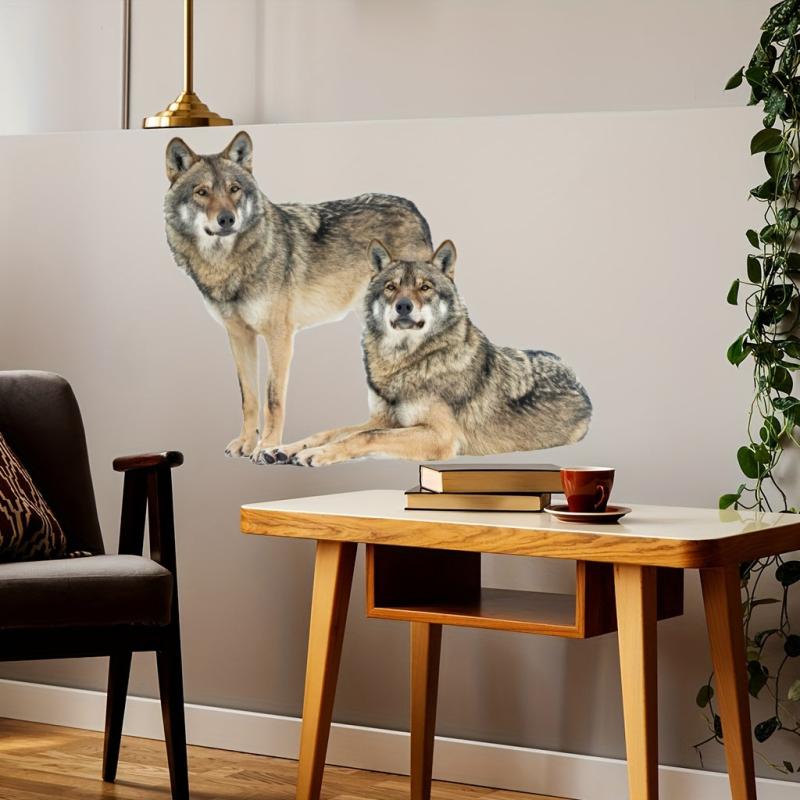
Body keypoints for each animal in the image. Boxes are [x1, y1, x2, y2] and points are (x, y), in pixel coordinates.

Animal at [163, 131, 433, 461]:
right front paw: (246, 443)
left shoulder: (279, 336)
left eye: (234, 189)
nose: (227, 219)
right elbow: (248, 397)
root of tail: (412, 207)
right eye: (202, 192)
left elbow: (272, 399)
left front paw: (267, 446)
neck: (229, 265)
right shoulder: (239, 336)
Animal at [262, 239, 592, 466]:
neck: (405, 362)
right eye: (391, 287)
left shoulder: (439, 435)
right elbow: (333, 431)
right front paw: (282, 448)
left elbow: (363, 436)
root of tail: (577, 376)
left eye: (425, 287)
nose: (403, 306)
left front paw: (316, 454)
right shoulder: (384, 420)